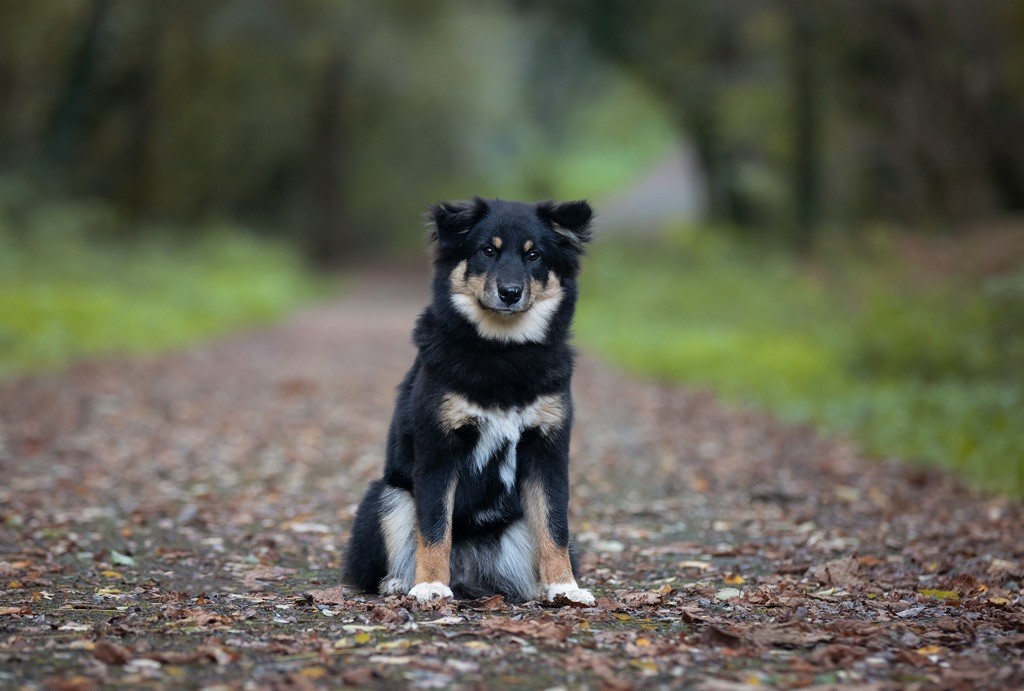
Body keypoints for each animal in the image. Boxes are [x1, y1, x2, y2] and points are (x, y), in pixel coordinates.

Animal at [339, 197, 598, 601]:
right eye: (487, 250)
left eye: (534, 255)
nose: (510, 292)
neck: (502, 351)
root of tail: (468, 571)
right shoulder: (438, 449)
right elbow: (434, 527)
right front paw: (430, 585)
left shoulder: (548, 450)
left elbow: (554, 527)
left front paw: (564, 588)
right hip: (388, 496)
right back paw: (400, 583)